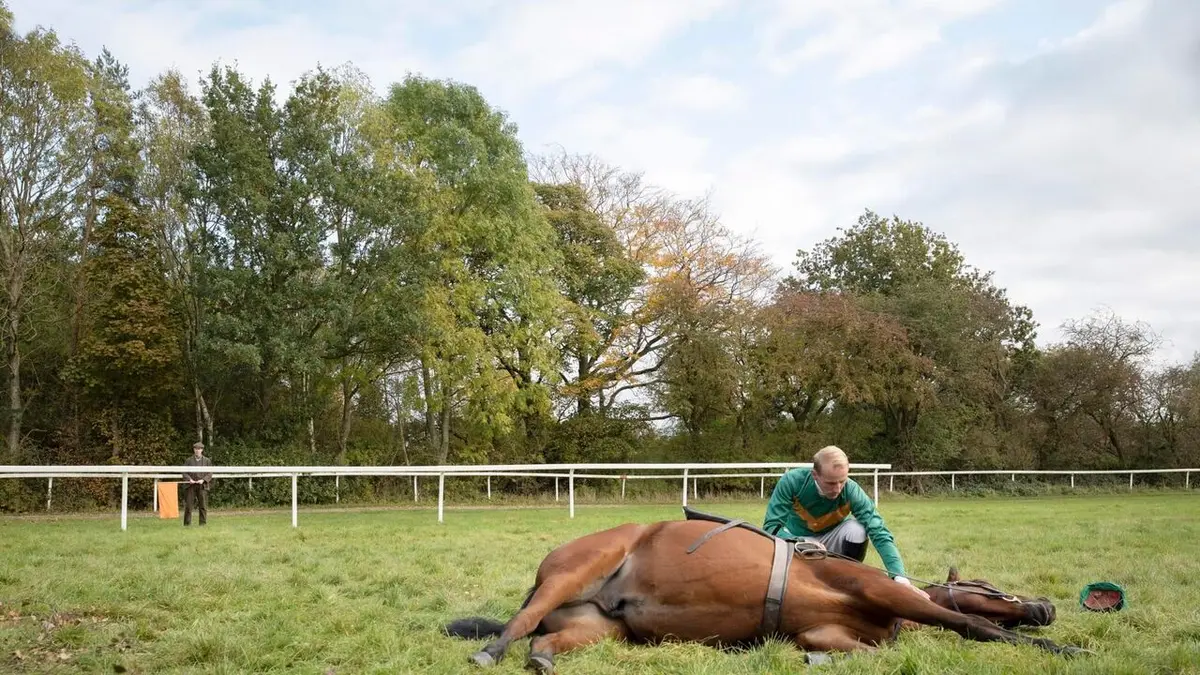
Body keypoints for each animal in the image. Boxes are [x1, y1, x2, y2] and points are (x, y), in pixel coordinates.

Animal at [443, 511, 1089, 673]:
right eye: (989, 586)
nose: (1048, 606)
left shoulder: (824, 632)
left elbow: (864, 652)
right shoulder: (888, 594)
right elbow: (969, 625)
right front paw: (1065, 649)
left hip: (599, 629)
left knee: (543, 644)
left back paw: (543, 662)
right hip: (577, 570)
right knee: (520, 624)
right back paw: (490, 651)